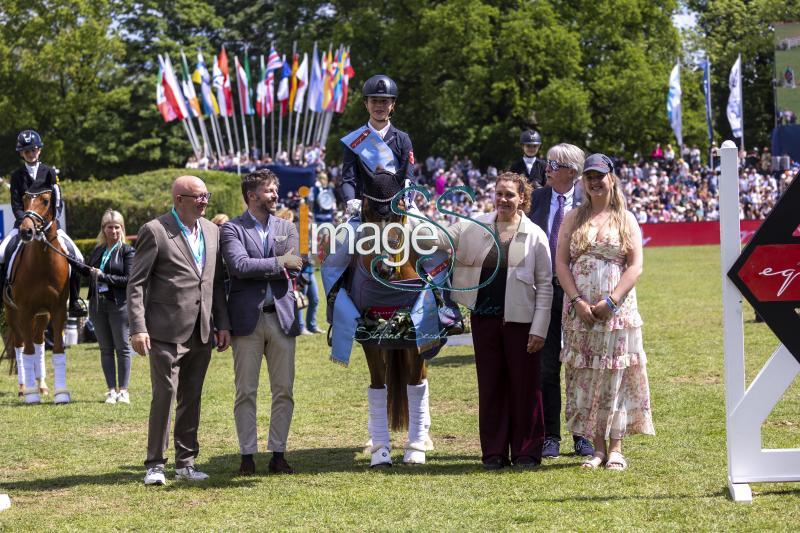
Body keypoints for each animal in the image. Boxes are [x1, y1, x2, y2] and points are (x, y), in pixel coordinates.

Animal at [3, 189, 71, 402]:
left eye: (46, 200)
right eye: (25, 199)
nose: (26, 231)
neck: (43, 262)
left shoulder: (58, 310)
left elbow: (57, 349)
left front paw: (61, 394)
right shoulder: (25, 311)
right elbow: (28, 351)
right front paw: (31, 396)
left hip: (42, 315)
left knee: (39, 342)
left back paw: (42, 386)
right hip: (12, 312)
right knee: (19, 345)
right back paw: (25, 387)